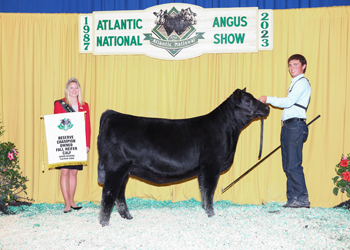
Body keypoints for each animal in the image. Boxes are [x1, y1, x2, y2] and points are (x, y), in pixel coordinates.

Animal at [97, 88, 270, 227]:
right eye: (248, 100)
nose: (267, 107)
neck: (228, 130)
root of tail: (113, 115)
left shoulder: (202, 170)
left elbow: (203, 192)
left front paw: (206, 211)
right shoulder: (211, 166)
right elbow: (209, 191)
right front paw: (212, 214)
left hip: (126, 170)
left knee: (119, 194)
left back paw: (127, 217)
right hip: (116, 167)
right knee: (108, 193)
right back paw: (104, 223)